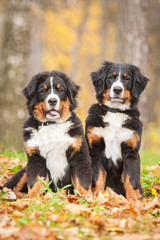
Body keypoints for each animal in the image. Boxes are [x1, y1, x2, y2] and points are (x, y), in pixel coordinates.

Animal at [1, 69, 92, 197]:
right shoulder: (35, 156)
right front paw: (33, 198)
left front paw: (86, 197)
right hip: (23, 171)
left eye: (60, 90)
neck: (52, 124)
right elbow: (36, 181)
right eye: (43, 91)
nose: (52, 100)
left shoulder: (78, 153)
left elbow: (82, 180)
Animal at [85, 61, 149, 200]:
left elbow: (131, 180)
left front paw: (134, 202)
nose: (117, 89)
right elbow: (98, 178)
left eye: (127, 79)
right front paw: (98, 199)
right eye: (111, 77)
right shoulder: (95, 150)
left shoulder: (131, 150)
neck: (115, 112)